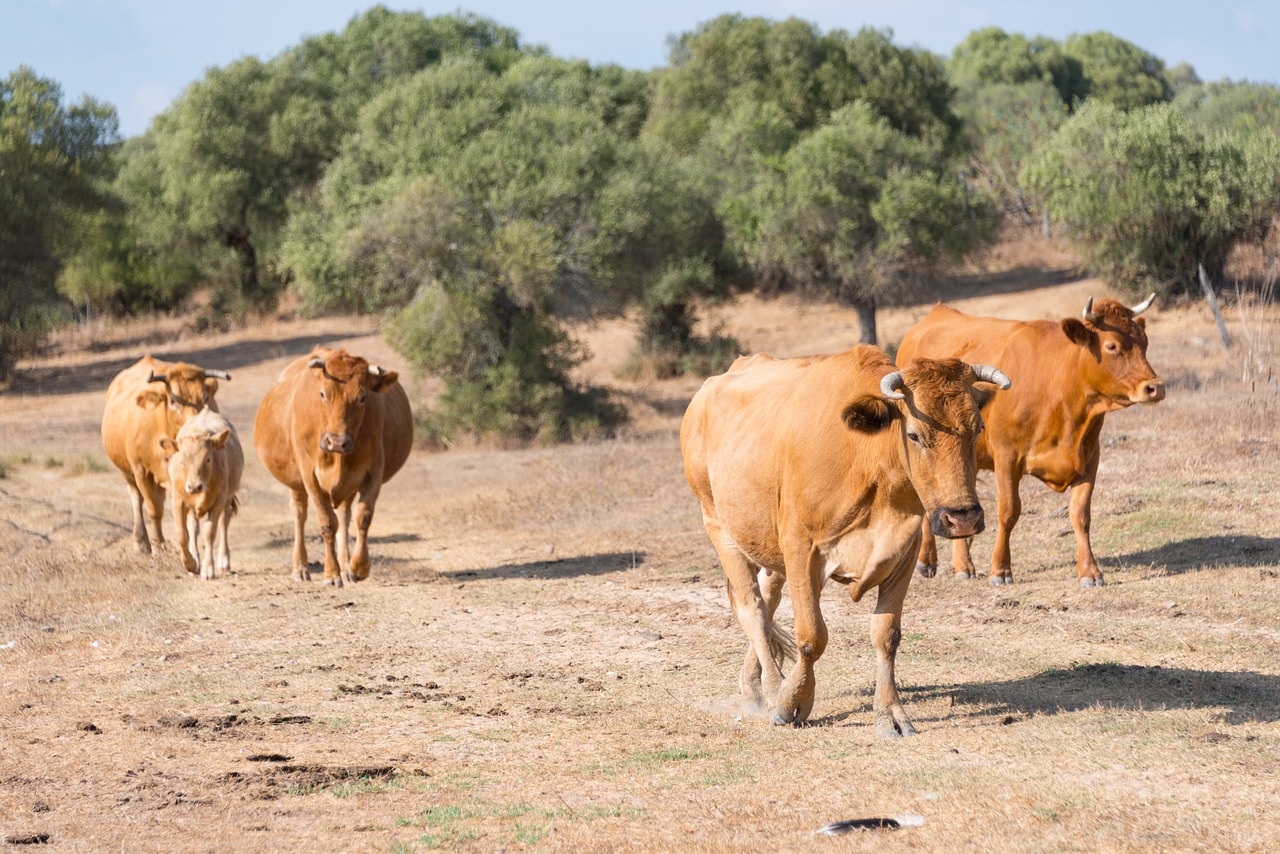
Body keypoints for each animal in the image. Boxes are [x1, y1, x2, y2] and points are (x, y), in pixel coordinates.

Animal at [101, 353, 231, 555]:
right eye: (173, 401)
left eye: (205, 398)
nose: (195, 424)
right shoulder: (141, 471)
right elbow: (154, 509)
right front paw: (158, 544)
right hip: (127, 471)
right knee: (137, 498)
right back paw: (141, 541)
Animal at [160, 407, 244, 581]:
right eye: (182, 461)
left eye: (208, 459)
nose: (194, 486)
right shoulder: (178, 499)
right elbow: (182, 534)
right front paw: (191, 564)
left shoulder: (219, 499)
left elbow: (209, 533)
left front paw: (208, 570)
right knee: (193, 528)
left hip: (228, 497)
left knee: (224, 521)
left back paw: (223, 561)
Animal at [249, 348, 409, 588]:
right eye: (323, 394)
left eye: (363, 397)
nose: (337, 442)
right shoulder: (310, 477)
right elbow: (327, 523)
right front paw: (331, 573)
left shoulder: (373, 473)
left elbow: (363, 517)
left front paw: (357, 567)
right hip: (295, 482)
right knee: (300, 514)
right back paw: (301, 567)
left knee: (344, 514)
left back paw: (345, 565)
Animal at [680, 345, 1008, 737]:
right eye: (915, 435)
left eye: (978, 428)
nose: (963, 518)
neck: (869, 462)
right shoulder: (801, 550)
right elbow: (811, 636)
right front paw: (792, 702)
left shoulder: (904, 552)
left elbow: (886, 634)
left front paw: (890, 713)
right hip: (717, 524)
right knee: (753, 608)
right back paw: (773, 690)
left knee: (768, 599)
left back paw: (753, 686)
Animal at [896, 295, 1167, 588]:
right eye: (1112, 345)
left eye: (1145, 342)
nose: (1156, 387)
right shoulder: (1006, 456)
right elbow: (1009, 511)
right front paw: (1000, 570)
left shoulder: (1090, 457)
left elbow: (1080, 514)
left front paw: (1090, 572)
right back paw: (927, 561)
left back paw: (963, 565)